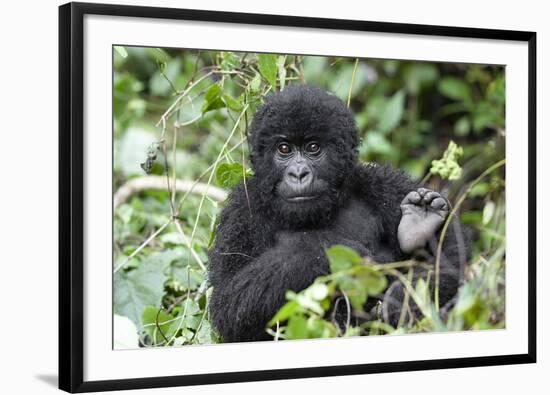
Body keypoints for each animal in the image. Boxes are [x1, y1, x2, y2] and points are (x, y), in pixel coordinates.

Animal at [207, 85, 470, 342]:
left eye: (313, 147)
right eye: (284, 149)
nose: (299, 173)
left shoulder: (383, 183)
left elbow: (452, 255)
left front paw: (402, 298)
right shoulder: (241, 212)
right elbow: (229, 303)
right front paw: (334, 251)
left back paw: (418, 226)